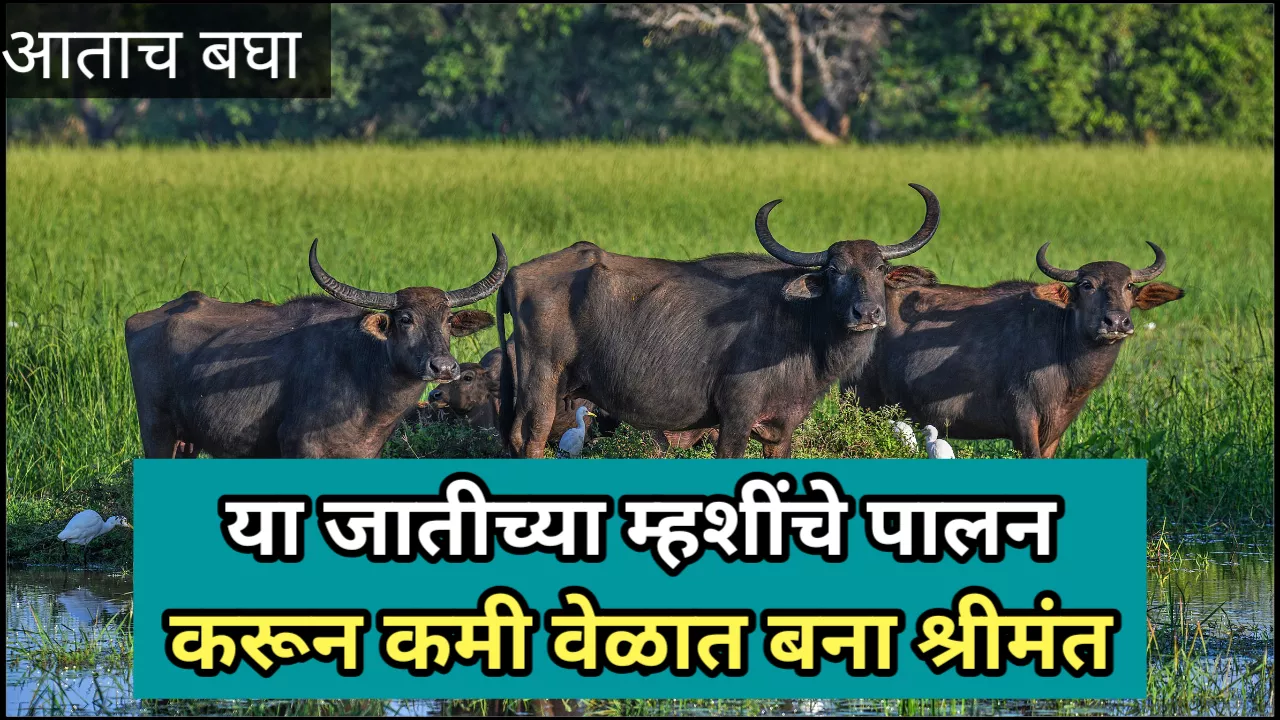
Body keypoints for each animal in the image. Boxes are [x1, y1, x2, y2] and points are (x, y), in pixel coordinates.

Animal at [124, 235, 507, 458]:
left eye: (447, 319)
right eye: (405, 319)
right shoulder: (301, 450)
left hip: (187, 441)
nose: (443, 367)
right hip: (157, 433)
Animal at [498, 184, 942, 458]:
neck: (801, 329)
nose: (867, 314)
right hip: (543, 384)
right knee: (531, 440)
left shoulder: (781, 430)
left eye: (881, 268)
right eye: (834, 270)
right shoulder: (734, 420)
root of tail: (516, 274)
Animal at [842, 241, 1184, 457]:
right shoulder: (1023, 422)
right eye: (1087, 285)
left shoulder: (1056, 431)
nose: (1116, 321)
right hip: (859, 400)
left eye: (1128, 285)